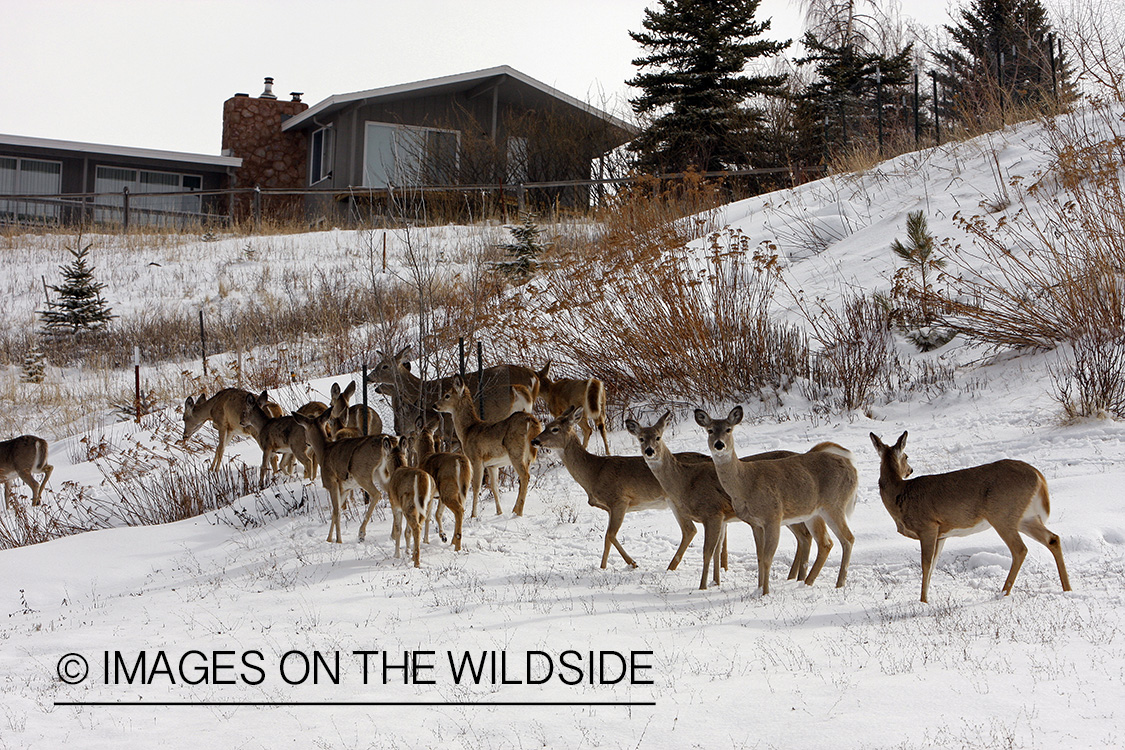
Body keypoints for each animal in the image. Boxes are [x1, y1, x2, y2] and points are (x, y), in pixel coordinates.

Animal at [290, 411, 391, 546]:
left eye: (305, 430)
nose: (307, 442)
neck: (324, 451)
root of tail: (384, 443)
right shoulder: (345, 488)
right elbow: (334, 511)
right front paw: (329, 539)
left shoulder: (332, 483)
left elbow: (337, 511)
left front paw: (338, 540)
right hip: (383, 474)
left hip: (362, 474)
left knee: (377, 494)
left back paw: (361, 534)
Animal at [429, 375, 540, 517]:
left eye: (447, 395)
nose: (435, 405)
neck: (468, 430)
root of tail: (531, 421)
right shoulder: (492, 465)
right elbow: (495, 488)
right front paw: (499, 512)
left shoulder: (476, 458)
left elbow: (476, 487)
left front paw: (473, 515)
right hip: (528, 456)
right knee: (522, 479)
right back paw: (515, 509)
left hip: (516, 451)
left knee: (525, 476)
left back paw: (518, 512)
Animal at [625, 411, 819, 593]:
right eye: (641, 439)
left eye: (658, 437)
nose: (650, 451)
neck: (686, 481)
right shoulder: (723, 517)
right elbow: (717, 552)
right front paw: (715, 583)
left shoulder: (712, 513)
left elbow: (708, 552)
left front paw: (702, 586)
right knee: (803, 537)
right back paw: (794, 578)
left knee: (805, 536)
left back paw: (798, 579)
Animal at [688, 407, 855, 593]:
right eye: (710, 430)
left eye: (728, 429)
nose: (719, 444)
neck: (746, 483)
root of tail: (852, 468)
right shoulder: (755, 523)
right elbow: (760, 557)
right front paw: (758, 589)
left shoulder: (773, 516)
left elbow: (768, 558)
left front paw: (765, 592)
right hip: (813, 513)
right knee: (826, 542)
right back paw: (807, 582)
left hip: (834, 504)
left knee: (848, 538)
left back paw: (839, 584)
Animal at [868, 431, 1071, 602]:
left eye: (906, 456)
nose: (910, 470)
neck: (900, 493)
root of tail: (1039, 476)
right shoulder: (941, 534)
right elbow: (933, 566)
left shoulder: (928, 526)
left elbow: (926, 565)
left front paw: (923, 601)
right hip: (1024, 518)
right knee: (1053, 538)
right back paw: (1067, 589)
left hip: (1002, 514)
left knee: (1020, 549)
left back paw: (1003, 593)